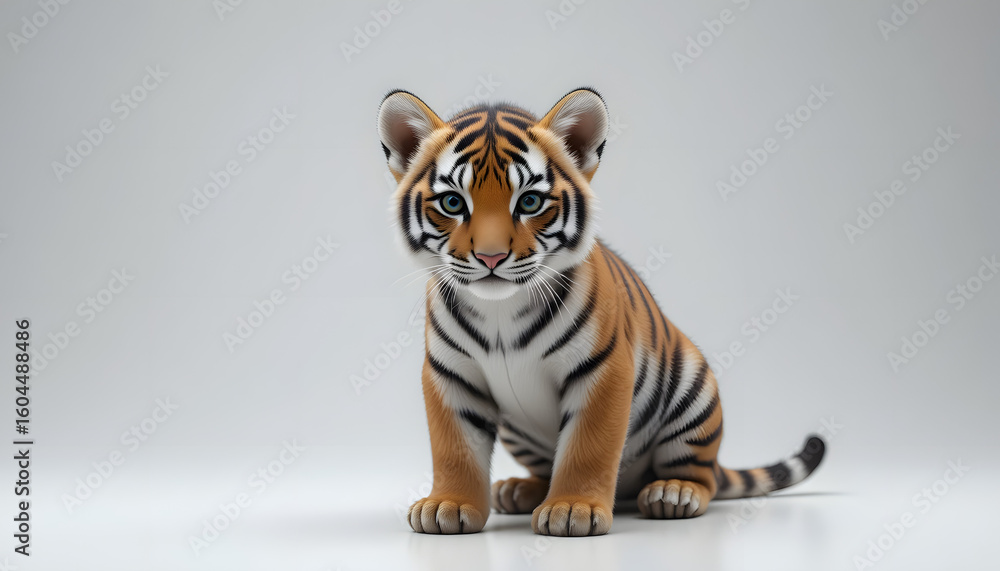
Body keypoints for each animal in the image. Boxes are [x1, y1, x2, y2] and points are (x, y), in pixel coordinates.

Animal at [376, 87, 826, 536]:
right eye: (453, 203)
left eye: (530, 201)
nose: (491, 257)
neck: (500, 310)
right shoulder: (450, 374)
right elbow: (454, 448)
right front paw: (448, 504)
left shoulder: (603, 369)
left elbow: (587, 447)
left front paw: (572, 508)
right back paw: (518, 490)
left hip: (694, 392)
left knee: (702, 475)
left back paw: (674, 493)